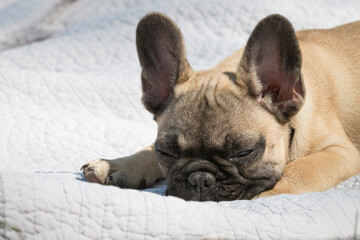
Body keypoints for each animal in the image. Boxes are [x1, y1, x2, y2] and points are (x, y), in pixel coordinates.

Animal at [81, 12, 360, 201]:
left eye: (245, 152)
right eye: (166, 153)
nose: (199, 179)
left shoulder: (340, 152)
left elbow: (296, 171)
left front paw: (261, 197)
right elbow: (146, 150)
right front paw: (117, 164)